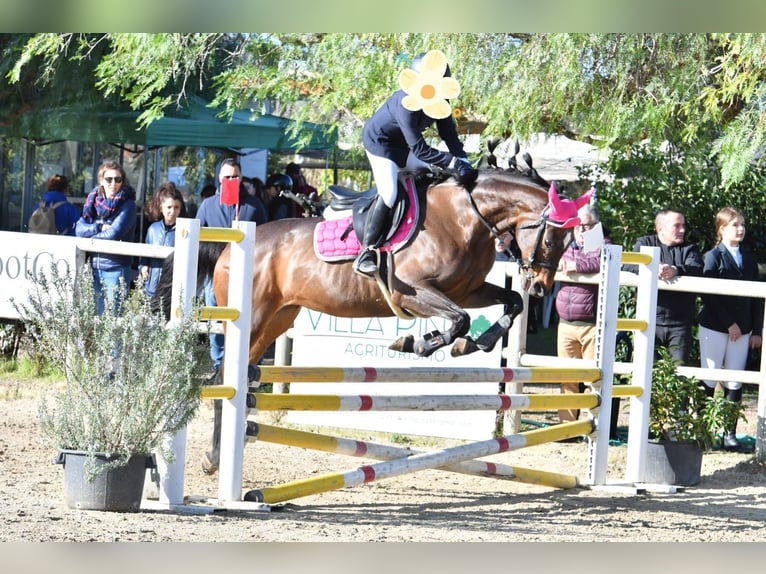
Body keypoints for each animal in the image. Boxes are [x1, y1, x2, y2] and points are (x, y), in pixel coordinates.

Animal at [153, 169, 592, 474]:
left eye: (573, 242)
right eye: (552, 238)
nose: (541, 286)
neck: (465, 216)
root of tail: (232, 244)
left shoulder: (468, 289)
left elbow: (508, 303)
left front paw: (476, 343)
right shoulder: (411, 293)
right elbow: (459, 320)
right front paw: (417, 342)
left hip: (277, 320)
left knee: (239, 376)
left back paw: (222, 452)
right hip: (254, 318)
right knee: (222, 378)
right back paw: (215, 458)